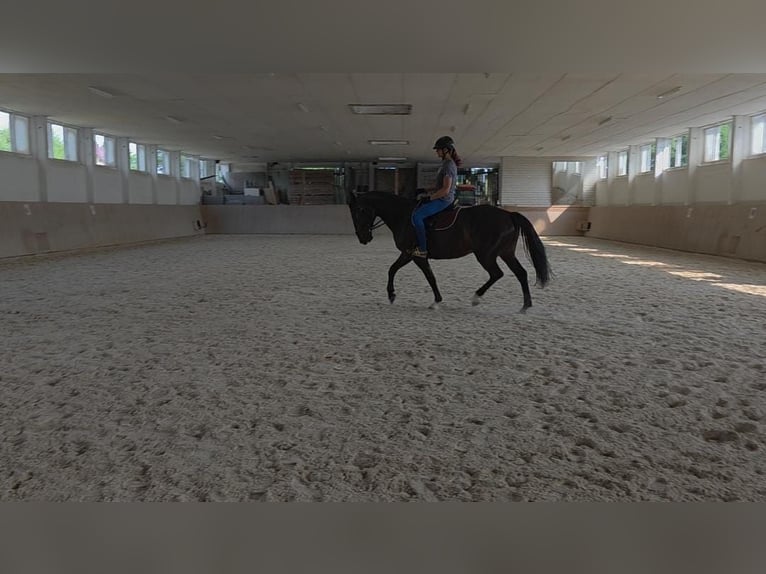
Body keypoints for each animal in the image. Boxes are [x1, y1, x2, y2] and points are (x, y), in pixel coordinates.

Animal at [348, 191, 552, 312]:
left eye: (360, 211)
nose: (363, 238)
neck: (403, 216)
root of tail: (508, 214)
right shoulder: (410, 255)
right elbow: (404, 272)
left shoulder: (412, 254)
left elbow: (418, 275)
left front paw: (394, 295)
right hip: (506, 253)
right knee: (521, 273)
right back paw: (525, 305)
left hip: (486, 255)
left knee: (497, 273)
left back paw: (476, 298)